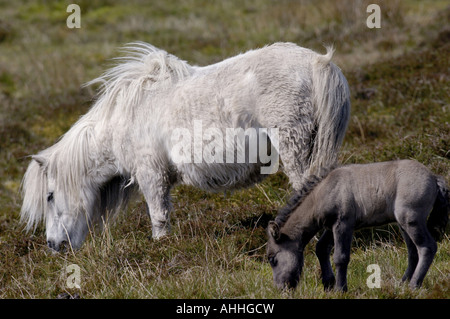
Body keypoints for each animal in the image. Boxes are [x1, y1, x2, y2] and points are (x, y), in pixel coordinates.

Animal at [20, 42, 352, 252]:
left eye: (50, 196)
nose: (54, 246)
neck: (127, 116)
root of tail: (318, 62)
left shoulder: (151, 174)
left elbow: (158, 215)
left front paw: (161, 249)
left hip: (294, 146)